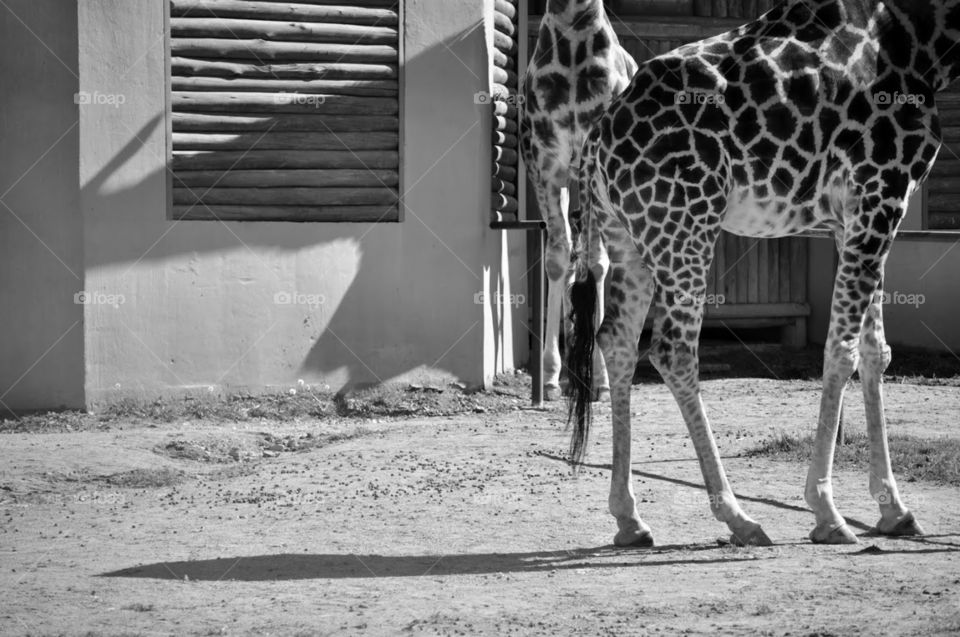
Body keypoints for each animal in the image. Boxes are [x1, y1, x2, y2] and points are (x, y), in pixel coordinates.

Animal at [520, 0, 632, 398]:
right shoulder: (544, 162)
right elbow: (558, 258)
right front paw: (553, 373)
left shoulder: (592, 162)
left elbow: (597, 263)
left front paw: (599, 377)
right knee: (572, 258)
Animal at [568, 0, 948, 548]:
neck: (924, 38)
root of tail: (597, 137)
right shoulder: (881, 193)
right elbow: (841, 350)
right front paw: (827, 512)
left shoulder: (856, 216)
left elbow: (876, 352)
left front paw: (895, 510)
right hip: (686, 225)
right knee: (672, 350)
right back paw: (738, 516)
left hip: (628, 235)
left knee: (616, 339)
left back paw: (630, 519)